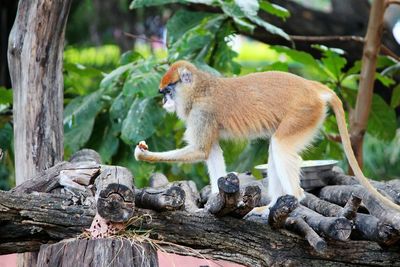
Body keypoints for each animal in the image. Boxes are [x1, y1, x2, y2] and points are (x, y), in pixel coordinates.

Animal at [134, 60, 400, 216]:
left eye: (168, 91)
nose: (164, 101)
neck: (201, 88)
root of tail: (312, 87)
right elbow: (212, 152)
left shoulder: (202, 112)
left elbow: (200, 150)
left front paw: (143, 154)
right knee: (275, 149)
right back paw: (271, 205)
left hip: (304, 113)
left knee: (280, 146)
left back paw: (294, 197)